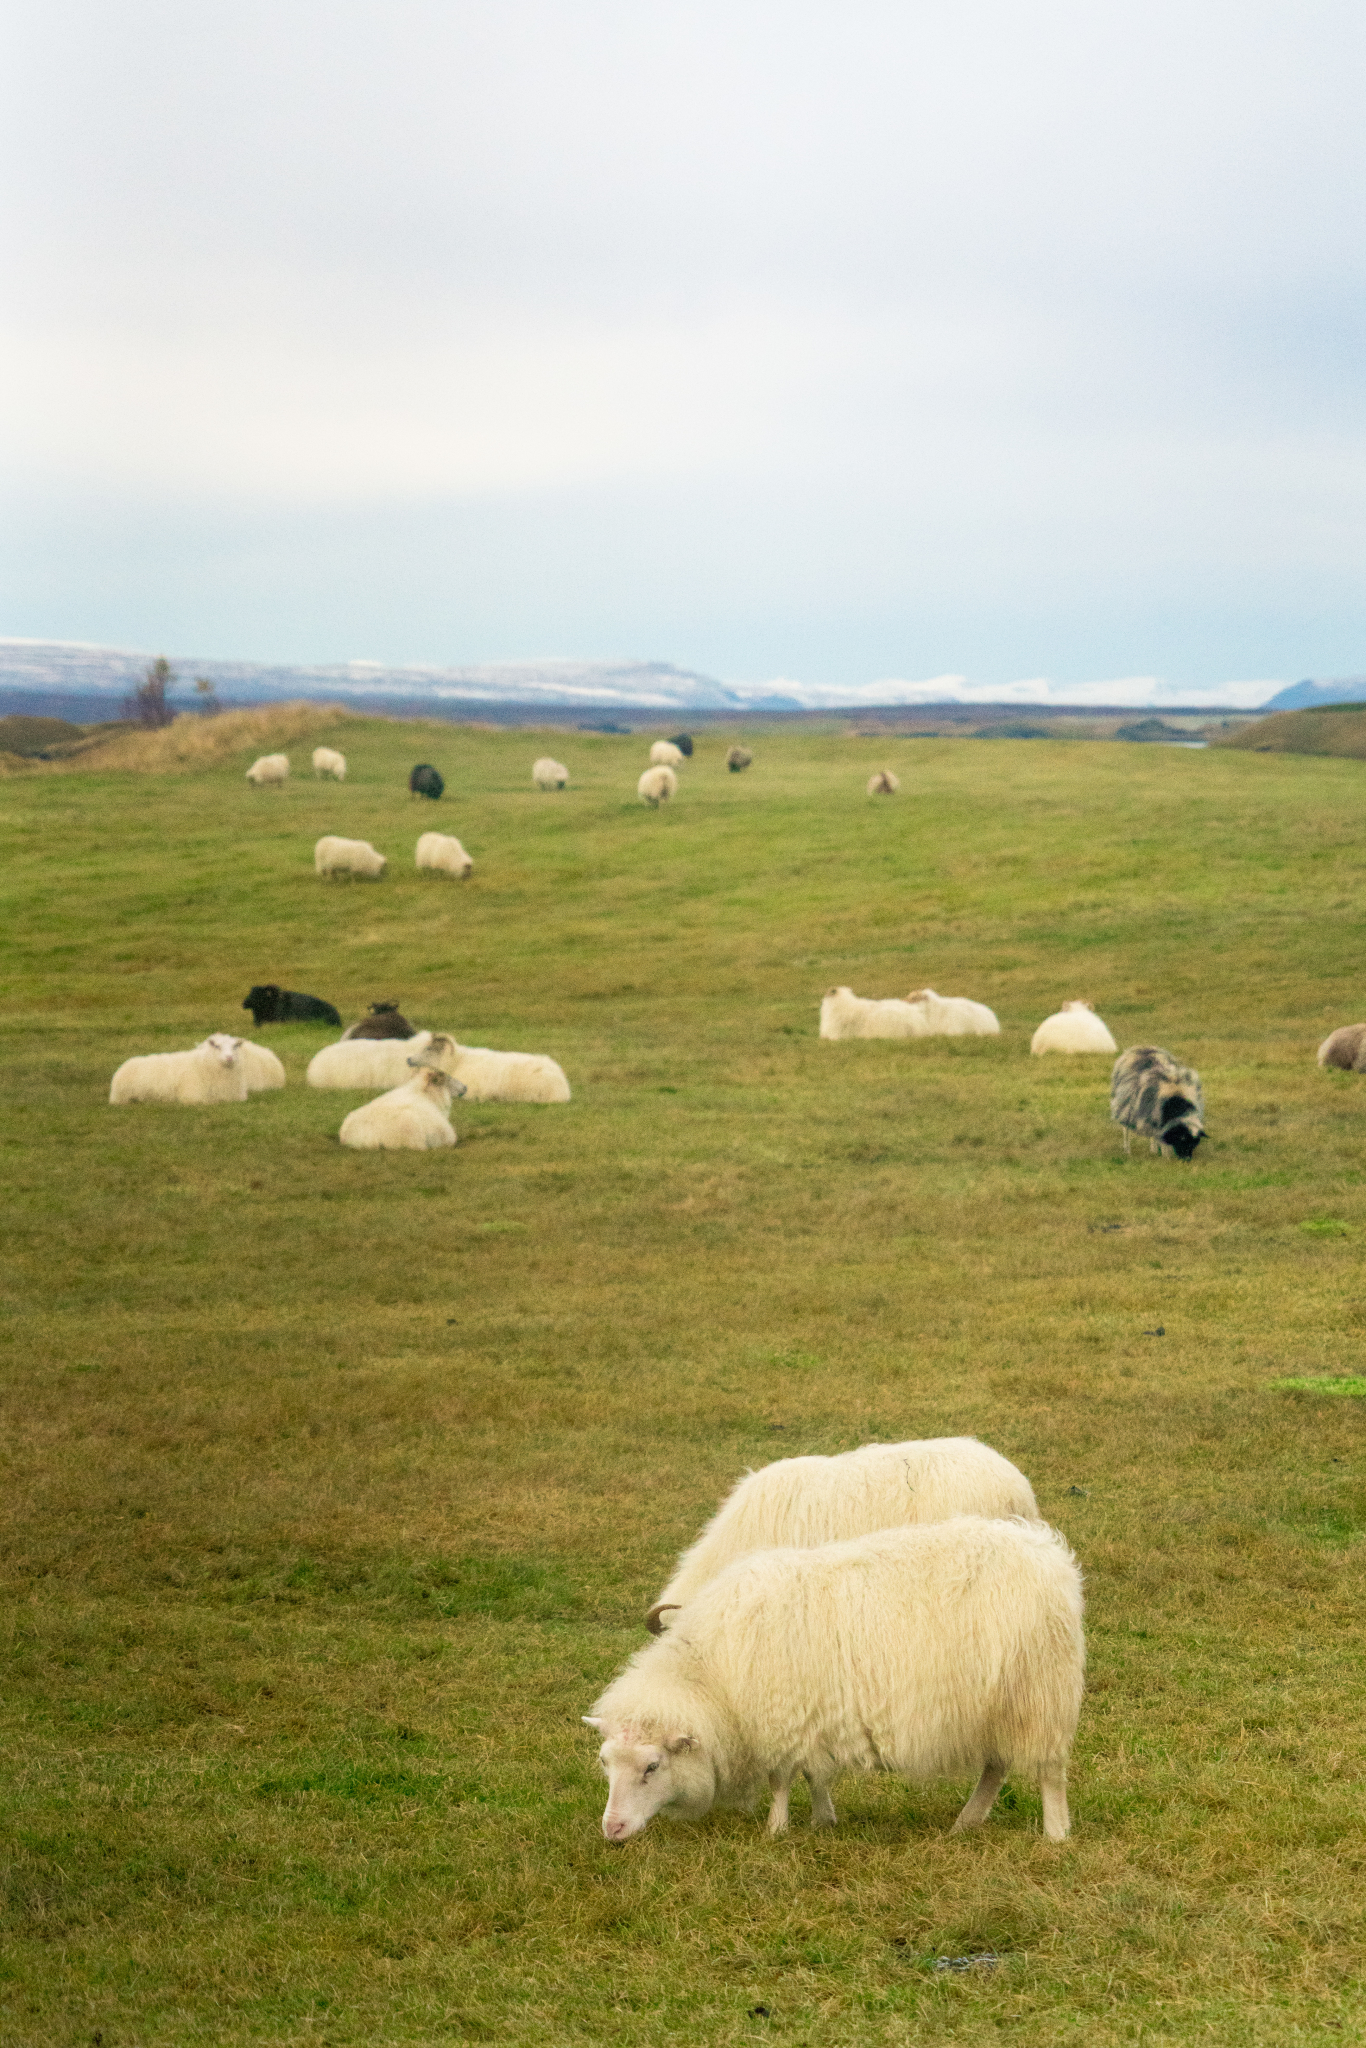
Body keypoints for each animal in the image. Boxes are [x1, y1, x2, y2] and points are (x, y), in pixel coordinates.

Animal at [589, 1515, 1089, 1851]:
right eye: (605, 1763)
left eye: (652, 1767)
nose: (612, 1830)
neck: (712, 1676)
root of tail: (1049, 1555)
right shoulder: (809, 1715)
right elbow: (814, 1773)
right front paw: (823, 1820)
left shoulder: (781, 1715)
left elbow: (781, 1779)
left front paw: (776, 1829)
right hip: (997, 1702)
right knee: (995, 1766)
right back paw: (966, 1823)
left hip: (1039, 1693)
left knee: (1048, 1770)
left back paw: (1055, 1834)